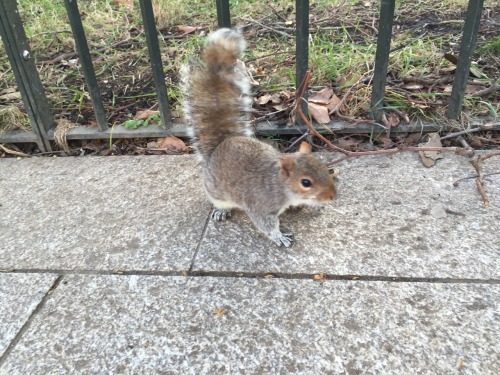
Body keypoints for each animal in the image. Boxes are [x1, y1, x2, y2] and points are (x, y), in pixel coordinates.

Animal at [182, 28, 338, 247]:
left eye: (325, 168)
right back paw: (221, 211)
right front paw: (280, 237)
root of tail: (221, 144)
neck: (279, 184)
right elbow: (265, 224)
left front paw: (315, 206)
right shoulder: (261, 204)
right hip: (215, 191)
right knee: (218, 201)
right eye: (306, 183)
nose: (332, 196)